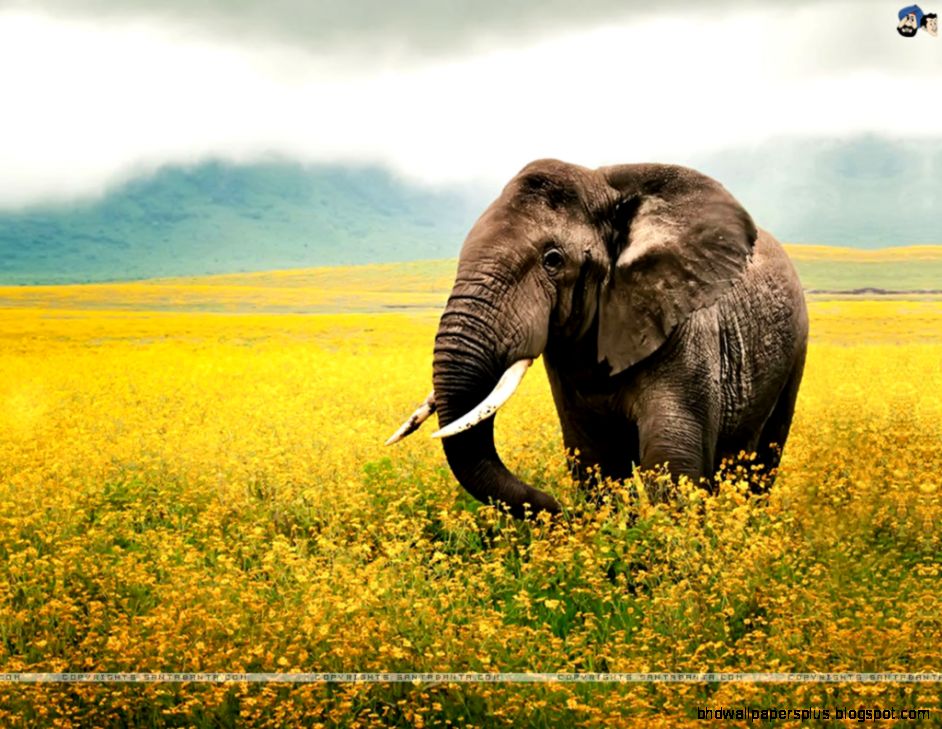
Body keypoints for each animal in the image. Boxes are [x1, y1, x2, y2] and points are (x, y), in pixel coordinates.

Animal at [387, 159, 808, 519]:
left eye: (553, 260)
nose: (557, 509)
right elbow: (596, 460)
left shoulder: (685, 328)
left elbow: (671, 461)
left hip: (795, 351)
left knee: (762, 461)